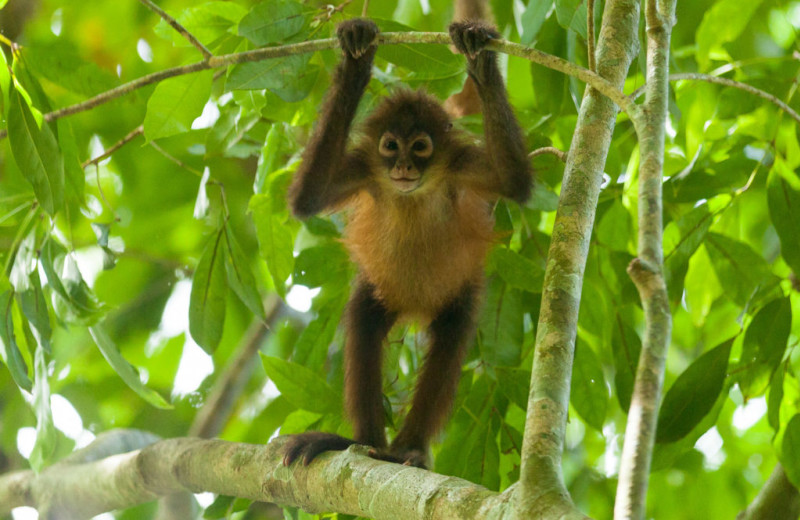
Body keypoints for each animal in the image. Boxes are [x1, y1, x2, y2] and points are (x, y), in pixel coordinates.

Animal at [282, 19, 532, 468]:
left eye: (419, 147)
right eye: (390, 146)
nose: (403, 166)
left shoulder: (459, 166)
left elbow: (515, 182)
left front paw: (477, 54)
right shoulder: (364, 169)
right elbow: (306, 198)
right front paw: (356, 60)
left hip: (456, 294)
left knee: (450, 338)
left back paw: (408, 448)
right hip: (380, 290)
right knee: (363, 323)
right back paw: (363, 442)